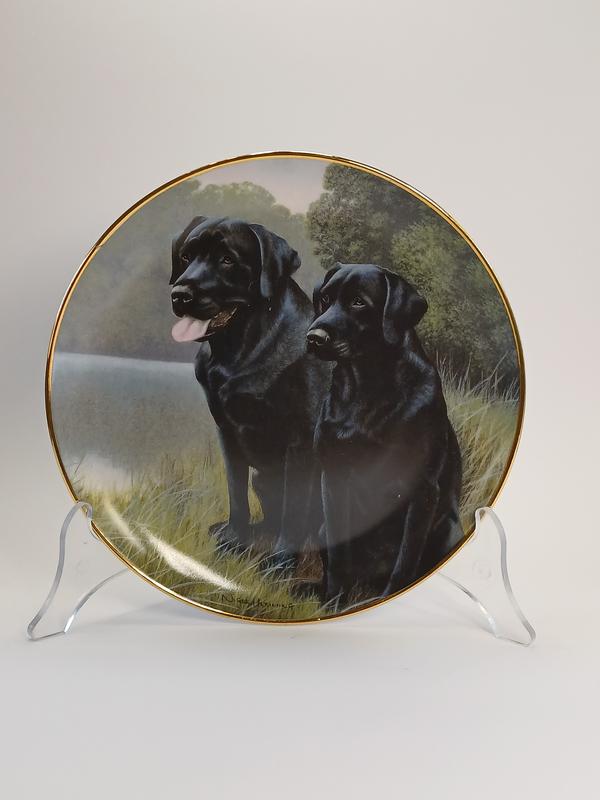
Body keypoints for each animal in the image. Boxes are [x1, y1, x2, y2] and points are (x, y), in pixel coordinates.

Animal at [170, 216, 330, 568]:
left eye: (227, 260)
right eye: (186, 256)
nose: (180, 294)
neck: (240, 349)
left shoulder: (300, 442)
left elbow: (294, 510)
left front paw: (281, 564)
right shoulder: (227, 432)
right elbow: (236, 493)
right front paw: (234, 540)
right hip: (262, 478)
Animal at [307, 263, 463, 602]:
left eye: (358, 302)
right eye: (325, 298)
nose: (314, 337)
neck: (366, 388)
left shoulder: (423, 490)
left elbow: (406, 561)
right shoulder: (333, 477)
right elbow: (338, 555)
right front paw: (334, 603)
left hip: (449, 530)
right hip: (322, 528)